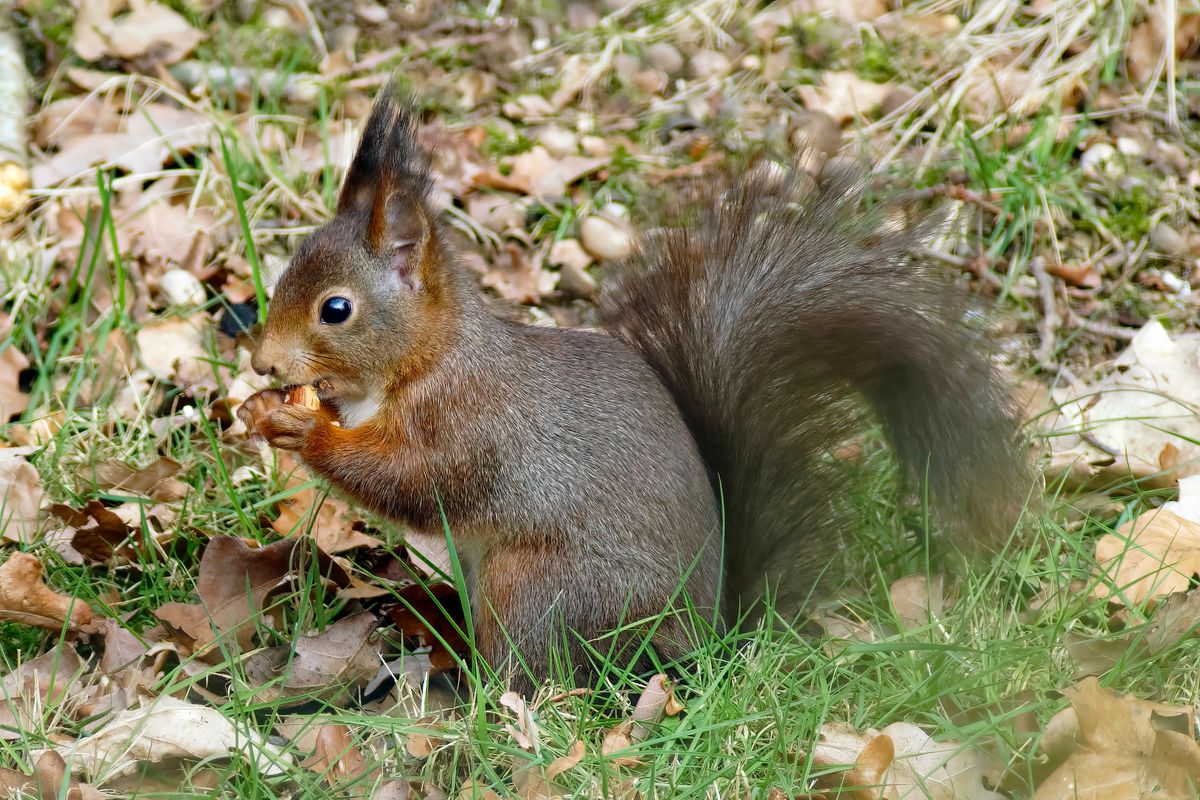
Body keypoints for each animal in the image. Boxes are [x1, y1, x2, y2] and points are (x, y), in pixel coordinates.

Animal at [236, 84, 1032, 690]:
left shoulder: (473, 425)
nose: (264, 365)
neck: (420, 363)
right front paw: (264, 410)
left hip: (537, 588)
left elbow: (413, 479)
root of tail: (707, 640)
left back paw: (466, 684)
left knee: (533, 674)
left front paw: (304, 430)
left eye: (336, 309)